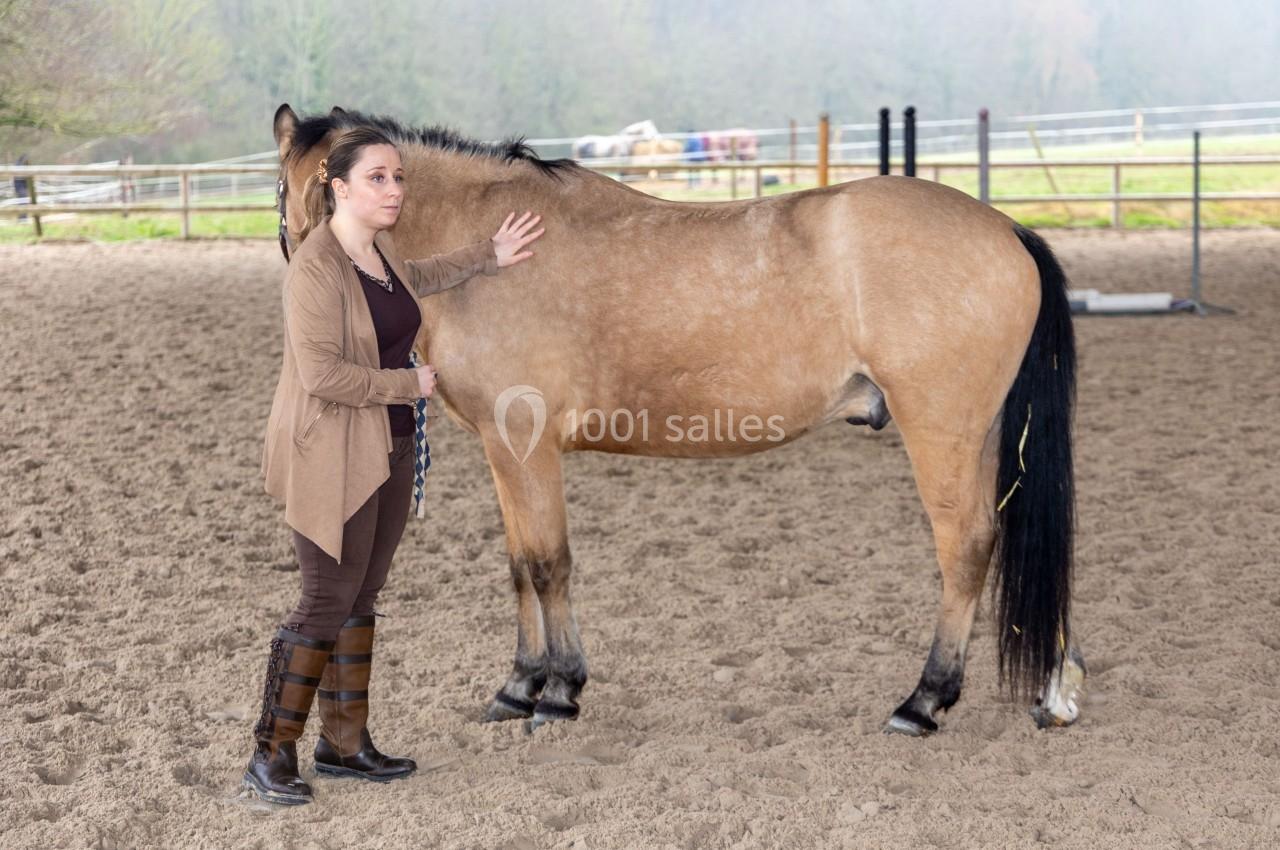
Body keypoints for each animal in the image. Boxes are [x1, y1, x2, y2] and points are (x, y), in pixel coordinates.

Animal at [273, 104, 1086, 737]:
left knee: (965, 549)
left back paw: (924, 700)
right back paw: (1054, 691)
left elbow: (548, 562)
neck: (491, 253)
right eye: (289, 185)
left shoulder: (527, 446)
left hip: (942, 434)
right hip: (984, 439)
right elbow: (519, 566)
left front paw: (558, 691)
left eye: (320, 184)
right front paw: (519, 686)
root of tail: (1008, 230)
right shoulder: (504, 454)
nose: (318, 279)